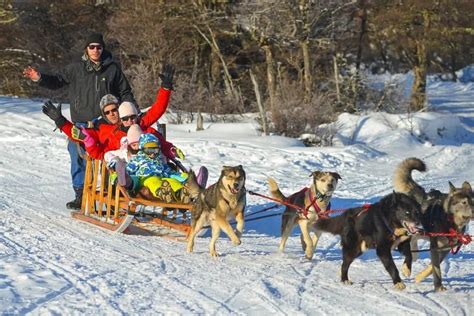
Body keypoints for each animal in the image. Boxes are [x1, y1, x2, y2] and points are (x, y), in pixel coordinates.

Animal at [392, 158, 470, 292]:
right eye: (464, 202)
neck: (449, 222)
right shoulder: (435, 246)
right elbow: (436, 269)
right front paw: (438, 287)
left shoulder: (444, 249)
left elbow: (433, 267)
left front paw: (420, 276)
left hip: (422, 231)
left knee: (414, 240)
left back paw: (413, 256)